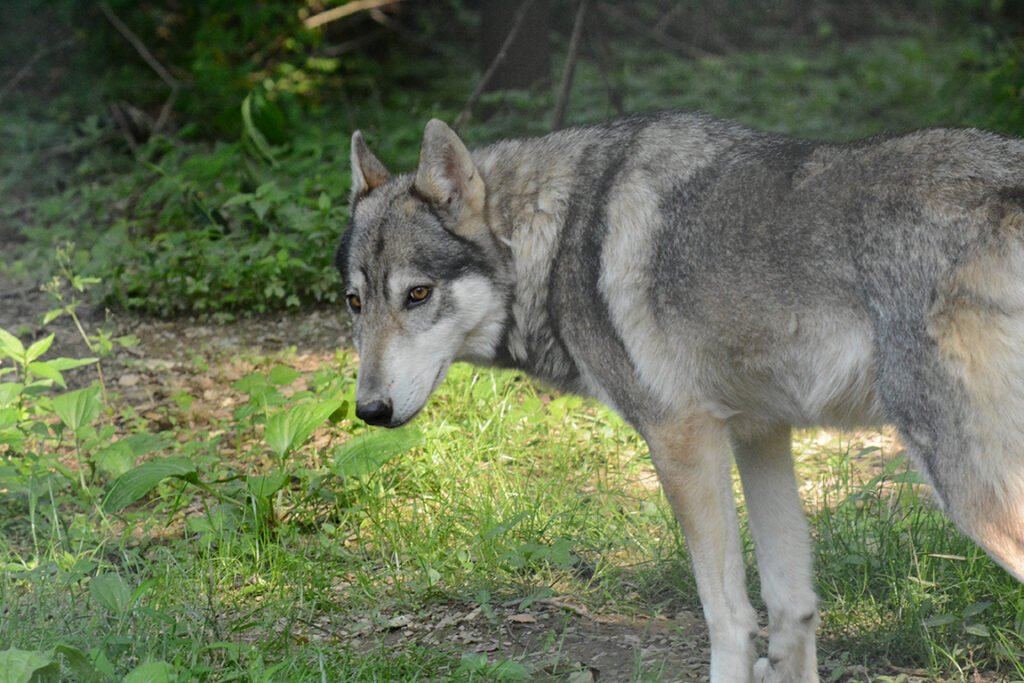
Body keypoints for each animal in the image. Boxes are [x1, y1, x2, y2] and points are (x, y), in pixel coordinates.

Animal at [334, 112, 1024, 682]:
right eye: (355, 302)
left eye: (418, 295)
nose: (370, 411)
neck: (553, 241)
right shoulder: (759, 435)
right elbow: (790, 608)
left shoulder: (681, 440)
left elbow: (729, 620)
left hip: (968, 492)